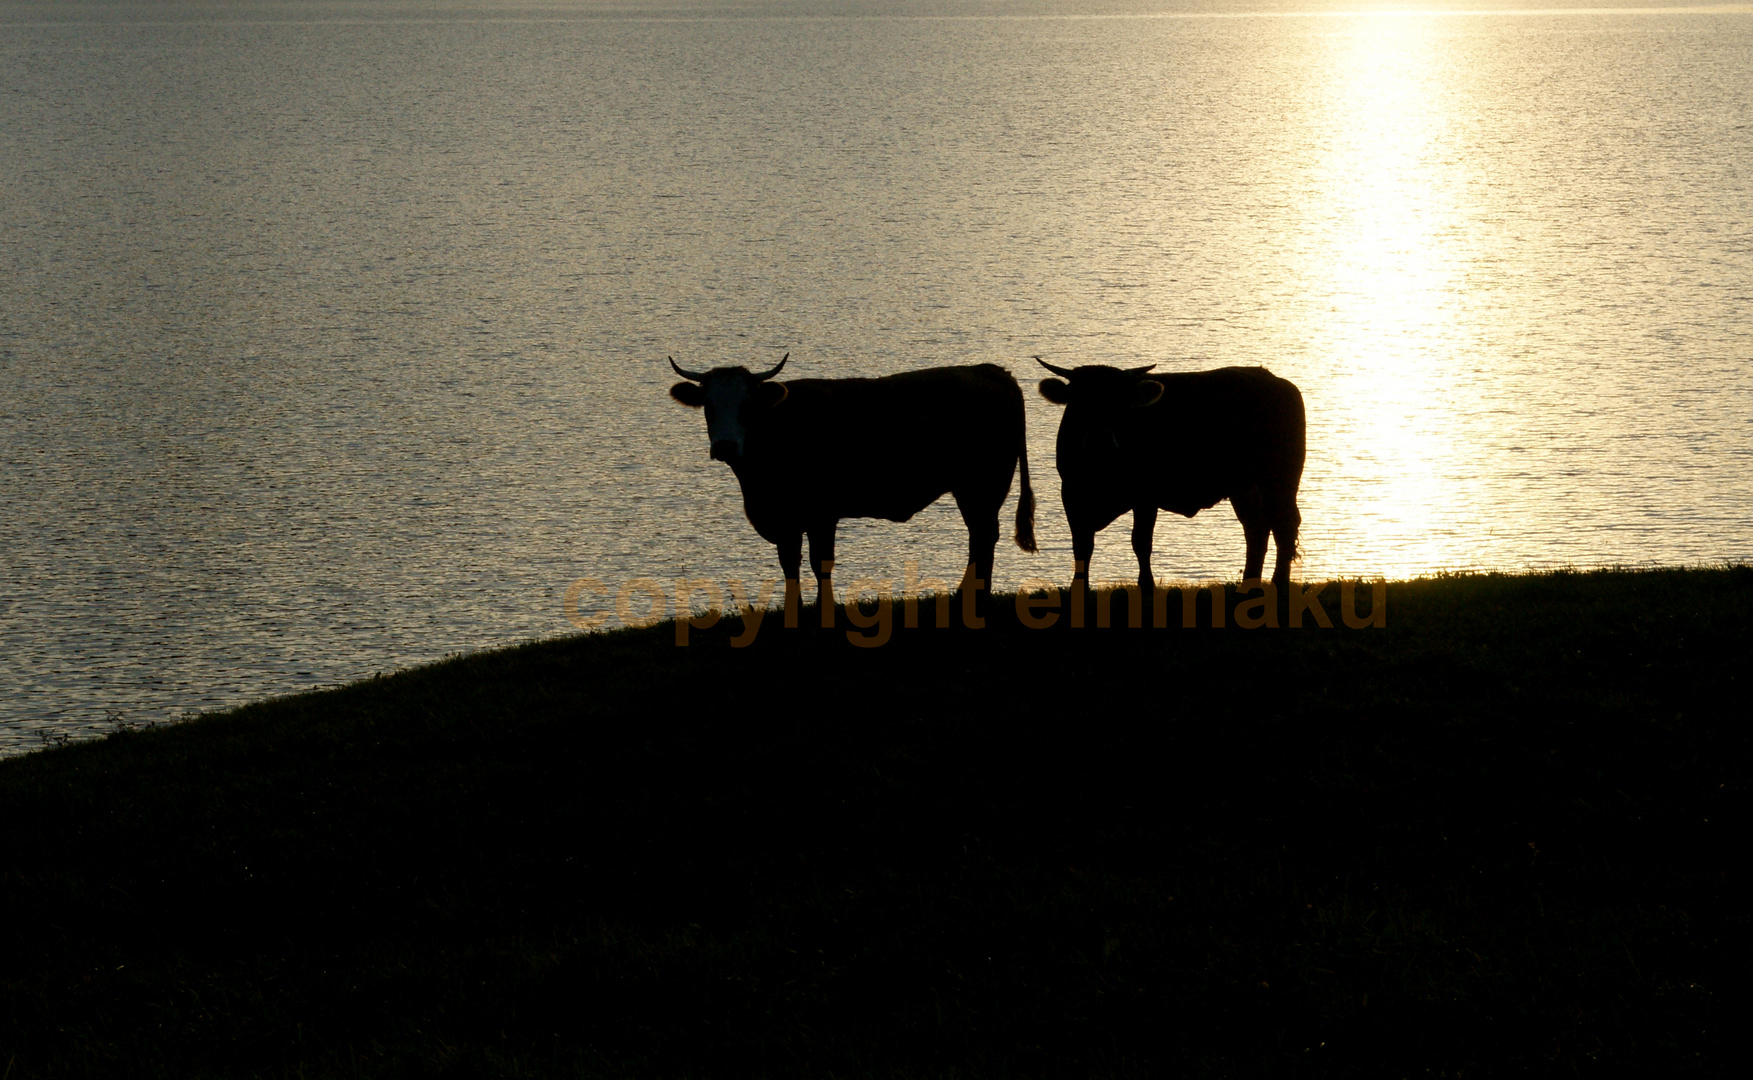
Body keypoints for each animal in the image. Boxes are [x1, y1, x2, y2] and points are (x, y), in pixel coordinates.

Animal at [666, 355, 1023, 617]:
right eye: (708, 406)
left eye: (746, 406)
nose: (724, 446)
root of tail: (989, 370)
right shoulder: (786, 519)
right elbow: (789, 562)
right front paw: (794, 610)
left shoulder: (821, 513)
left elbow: (819, 561)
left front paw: (825, 609)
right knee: (981, 538)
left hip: (982, 485)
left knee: (983, 537)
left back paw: (973, 599)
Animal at [1037, 361, 1304, 599]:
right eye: (1079, 403)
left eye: (1121, 405)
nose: (1100, 442)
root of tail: (1274, 380)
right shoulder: (1071, 493)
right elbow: (1082, 546)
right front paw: (1078, 591)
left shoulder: (1145, 495)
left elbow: (1140, 542)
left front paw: (1147, 588)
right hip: (1243, 486)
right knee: (1256, 528)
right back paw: (1247, 586)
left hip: (1280, 481)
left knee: (1284, 526)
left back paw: (1278, 584)